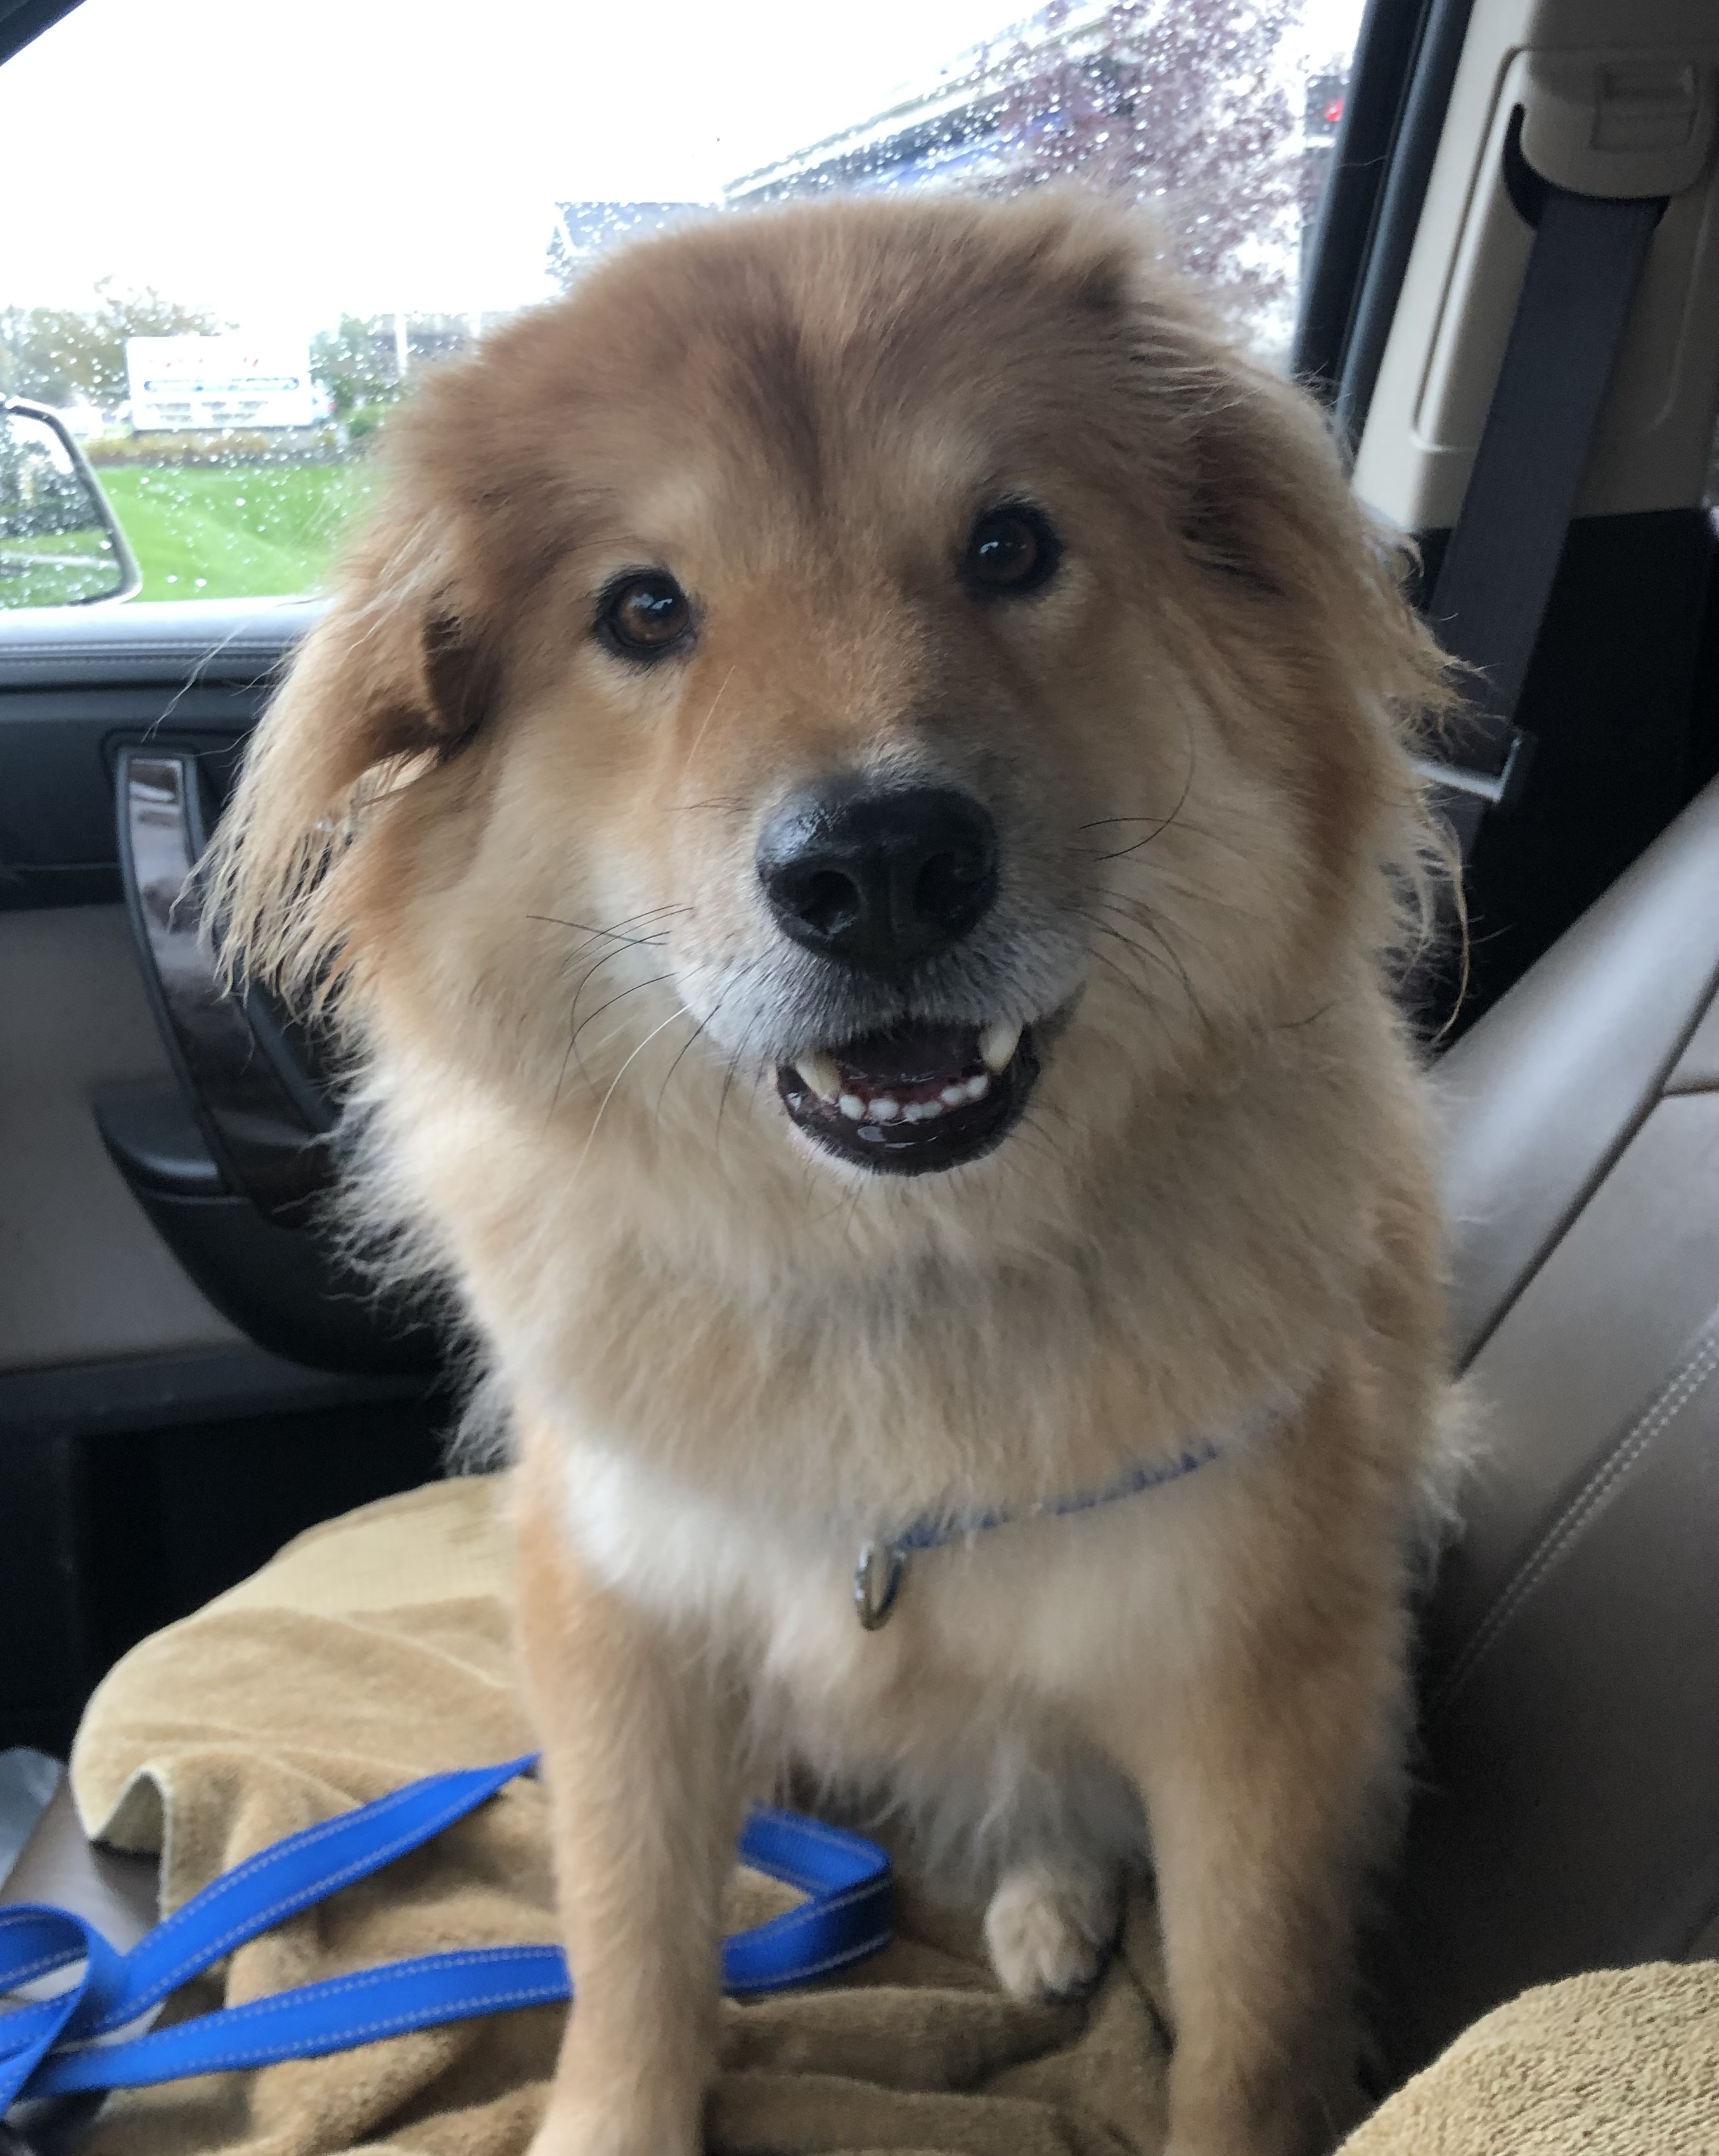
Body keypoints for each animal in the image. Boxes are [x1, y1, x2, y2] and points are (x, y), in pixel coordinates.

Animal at [208, 198, 1458, 2156]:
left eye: (1009, 543)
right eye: (645, 610)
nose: (878, 869)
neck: (897, 1272)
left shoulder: (1260, 1683)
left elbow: (1249, 2029)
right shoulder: (624, 1620)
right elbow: (631, 1950)